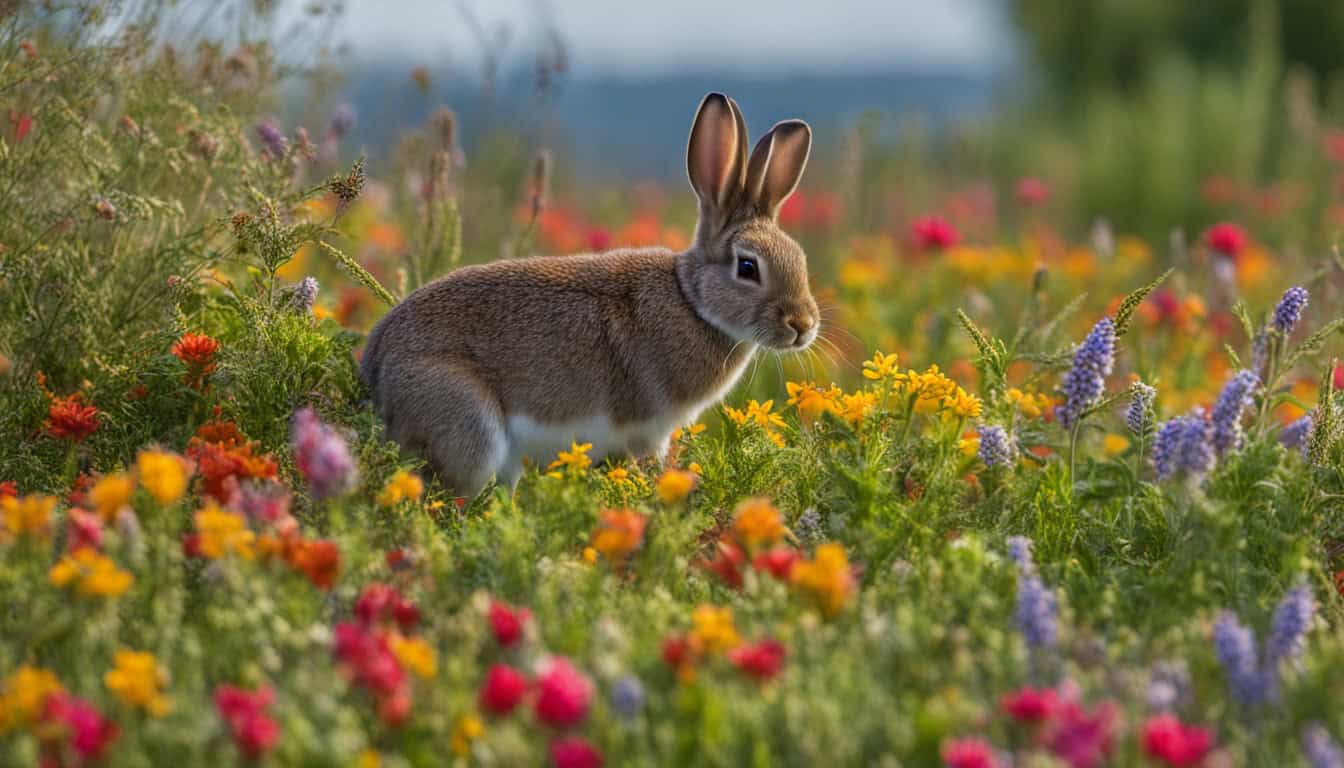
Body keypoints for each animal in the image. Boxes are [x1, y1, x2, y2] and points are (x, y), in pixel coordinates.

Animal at [360, 92, 819, 496]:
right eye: (748, 267)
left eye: (800, 257)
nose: (803, 325)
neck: (692, 301)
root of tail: (376, 371)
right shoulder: (646, 432)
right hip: (471, 426)